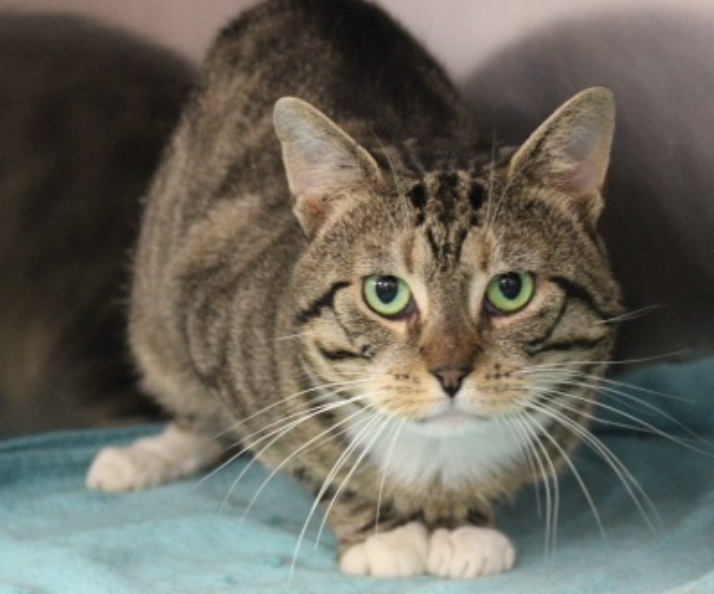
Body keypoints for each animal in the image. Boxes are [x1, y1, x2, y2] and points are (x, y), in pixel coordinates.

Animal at [80, 0, 620, 576]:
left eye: (510, 288)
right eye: (386, 291)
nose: (450, 373)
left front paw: (461, 525)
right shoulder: (211, 314)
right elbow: (318, 464)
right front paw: (385, 534)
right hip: (158, 306)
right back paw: (145, 456)